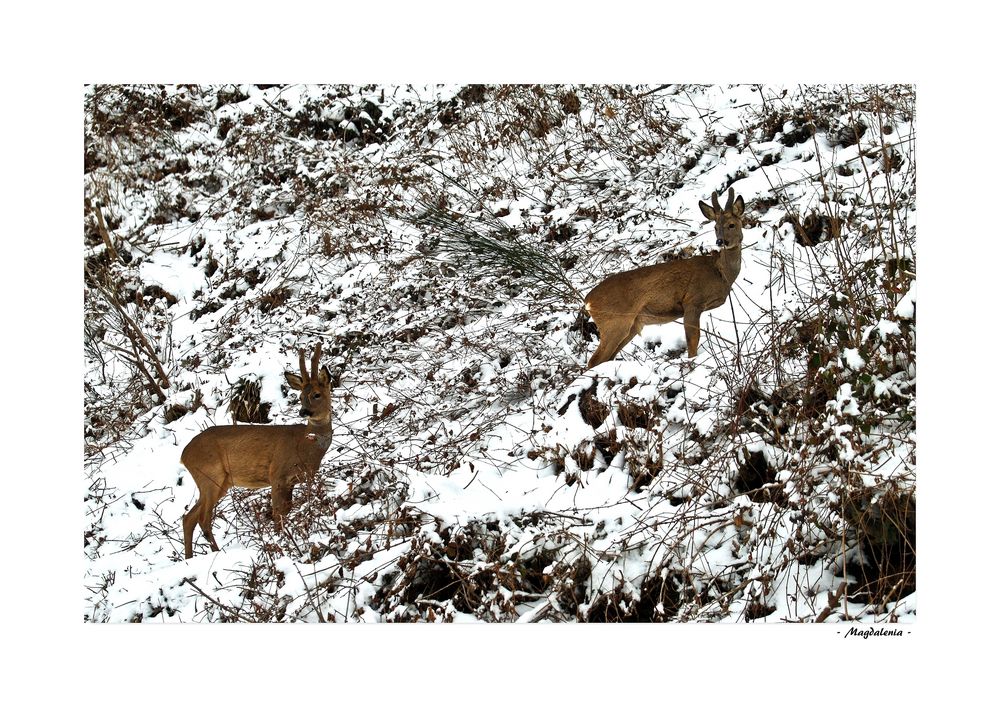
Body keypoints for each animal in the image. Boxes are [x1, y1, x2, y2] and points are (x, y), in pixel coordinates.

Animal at [180, 342, 332, 560]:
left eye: (316, 394)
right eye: (301, 396)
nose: (304, 411)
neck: (305, 447)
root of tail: (183, 455)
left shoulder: (296, 480)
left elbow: (286, 510)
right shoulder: (276, 474)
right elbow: (277, 514)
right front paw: (281, 542)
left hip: (220, 483)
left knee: (188, 517)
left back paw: (189, 558)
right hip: (209, 476)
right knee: (202, 518)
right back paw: (216, 553)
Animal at [584, 188, 748, 368]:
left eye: (731, 224)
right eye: (715, 227)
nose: (720, 241)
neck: (720, 273)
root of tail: (588, 301)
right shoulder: (692, 301)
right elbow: (692, 341)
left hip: (631, 326)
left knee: (607, 358)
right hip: (614, 322)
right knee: (594, 360)